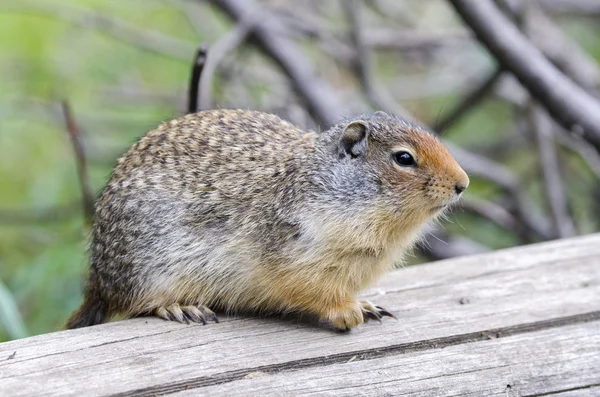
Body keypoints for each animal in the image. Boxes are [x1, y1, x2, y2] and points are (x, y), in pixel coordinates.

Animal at [65, 107, 468, 328]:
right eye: (404, 158)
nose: (462, 184)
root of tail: (99, 279)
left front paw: (366, 305)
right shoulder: (295, 254)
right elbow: (308, 289)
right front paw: (347, 311)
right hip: (147, 271)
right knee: (135, 302)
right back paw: (182, 306)